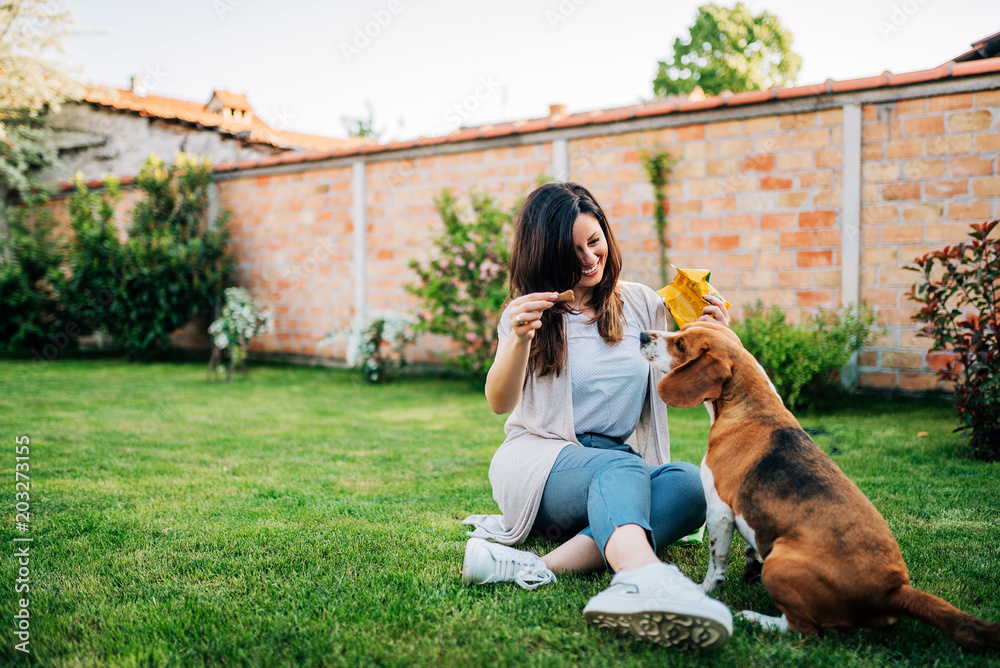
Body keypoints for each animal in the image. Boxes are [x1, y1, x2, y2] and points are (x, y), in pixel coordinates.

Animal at [640, 320, 1000, 648]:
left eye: (680, 345)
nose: (643, 335)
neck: (751, 407)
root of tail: (895, 590)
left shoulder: (719, 510)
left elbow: (716, 563)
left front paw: (703, 591)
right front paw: (748, 567)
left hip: (780, 563)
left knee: (805, 630)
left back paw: (755, 619)